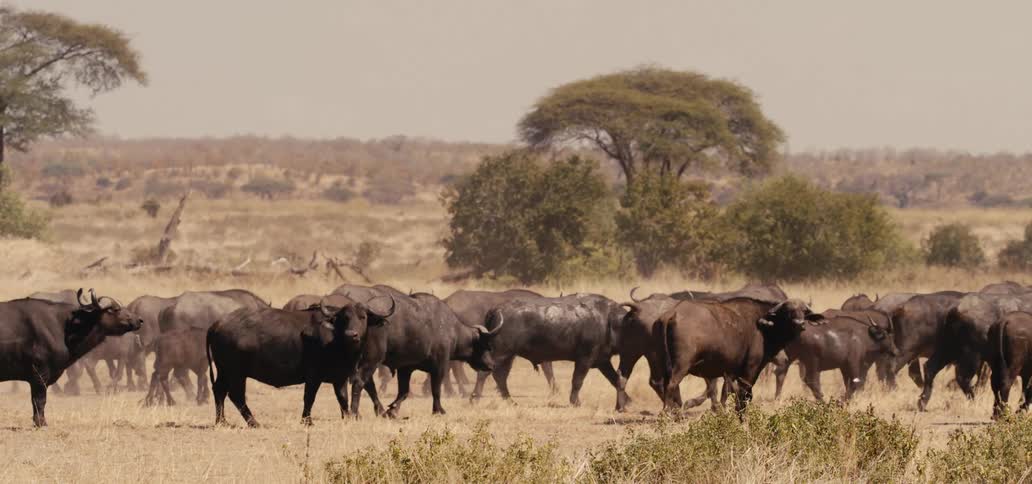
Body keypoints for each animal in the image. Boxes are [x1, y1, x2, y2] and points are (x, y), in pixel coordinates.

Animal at [0, 289, 142, 426]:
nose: (139, 320)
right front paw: (41, 422)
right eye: (114, 309)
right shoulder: (40, 375)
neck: (63, 327)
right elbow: (39, 400)